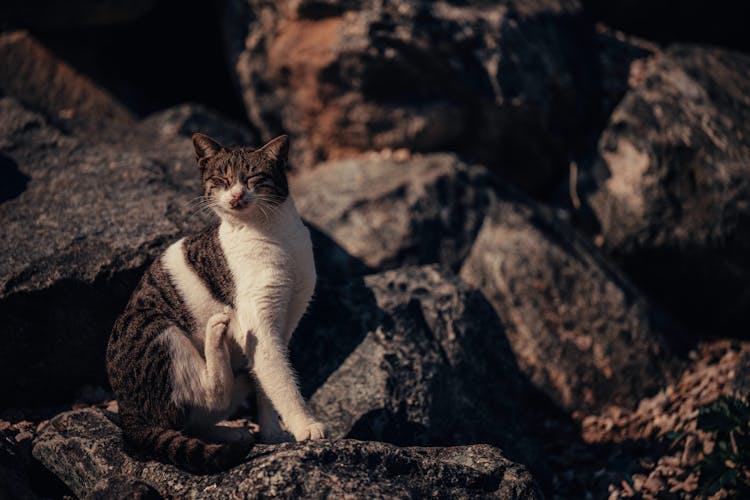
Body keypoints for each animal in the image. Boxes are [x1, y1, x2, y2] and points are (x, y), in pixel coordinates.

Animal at [106, 132, 326, 472]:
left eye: (253, 177)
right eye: (221, 180)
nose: (236, 195)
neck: (276, 235)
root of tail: (129, 418)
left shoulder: (285, 322)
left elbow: (268, 382)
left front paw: (272, 434)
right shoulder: (257, 323)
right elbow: (282, 382)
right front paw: (306, 426)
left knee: (198, 418)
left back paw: (230, 433)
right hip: (154, 327)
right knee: (209, 394)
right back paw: (216, 331)